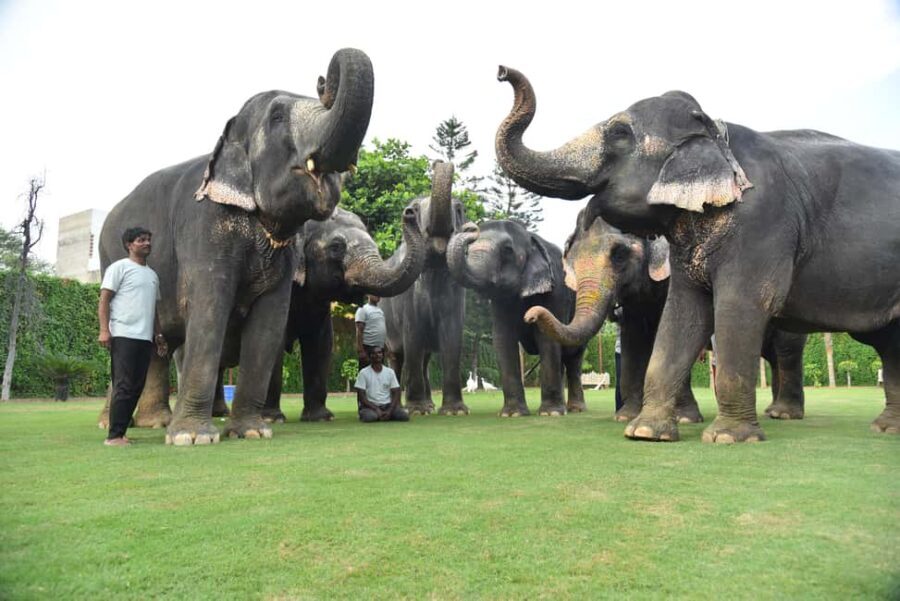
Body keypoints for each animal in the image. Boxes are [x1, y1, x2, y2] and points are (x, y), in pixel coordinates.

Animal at [99, 48, 374, 445]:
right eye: (277, 117)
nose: (323, 82)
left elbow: (269, 325)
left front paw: (252, 432)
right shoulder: (204, 229)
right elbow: (209, 310)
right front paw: (192, 438)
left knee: (154, 351)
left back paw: (155, 423)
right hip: (109, 260)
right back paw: (117, 425)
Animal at [380, 162, 470, 415]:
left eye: (459, 209)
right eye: (414, 209)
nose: (438, 162)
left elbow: (452, 339)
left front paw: (455, 411)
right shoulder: (408, 296)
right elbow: (413, 337)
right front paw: (417, 410)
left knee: (425, 358)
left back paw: (429, 404)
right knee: (397, 358)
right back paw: (403, 406)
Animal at [447, 219, 587, 416]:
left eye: (507, 250)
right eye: (469, 248)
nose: (470, 226)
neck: (531, 238)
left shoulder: (556, 291)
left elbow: (547, 338)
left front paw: (550, 413)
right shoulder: (500, 302)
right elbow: (502, 339)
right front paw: (512, 414)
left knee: (574, 357)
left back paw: (575, 409)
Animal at [525, 209, 808, 422]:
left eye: (619, 254)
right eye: (571, 259)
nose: (530, 315)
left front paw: (684, 418)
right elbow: (633, 340)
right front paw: (626, 417)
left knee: (787, 351)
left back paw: (784, 414)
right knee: (773, 356)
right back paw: (772, 411)